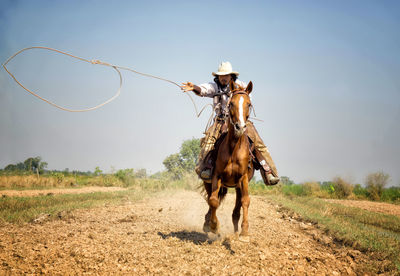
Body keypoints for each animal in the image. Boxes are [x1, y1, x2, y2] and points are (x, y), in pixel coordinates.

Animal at [202, 80, 255, 242]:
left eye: (249, 104)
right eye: (231, 103)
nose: (240, 127)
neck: (233, 149)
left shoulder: (243, 178)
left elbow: (246, 201)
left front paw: (245, 233)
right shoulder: (216, 176)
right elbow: (213, 200)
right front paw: (214, 226)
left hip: (237, 186)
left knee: (236, 209)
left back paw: (236, 232)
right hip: (208, 182)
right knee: (211, 200)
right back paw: (207, 224)